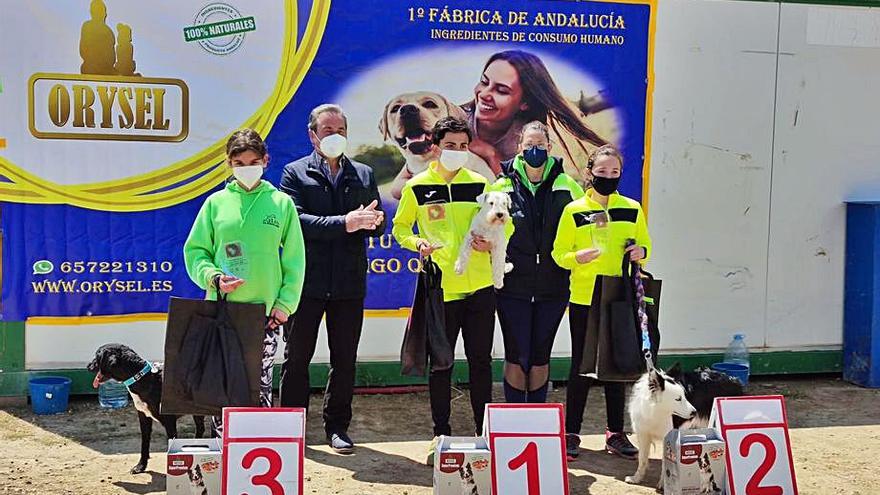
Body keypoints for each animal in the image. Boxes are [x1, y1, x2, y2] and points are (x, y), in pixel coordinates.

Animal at [87, 342, 205, 474]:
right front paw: (141, 466)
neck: (145, 378)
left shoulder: (169, 422)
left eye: (97, 356)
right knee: (201, 428)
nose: (87, 366)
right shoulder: (143, 417)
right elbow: (144, 444)